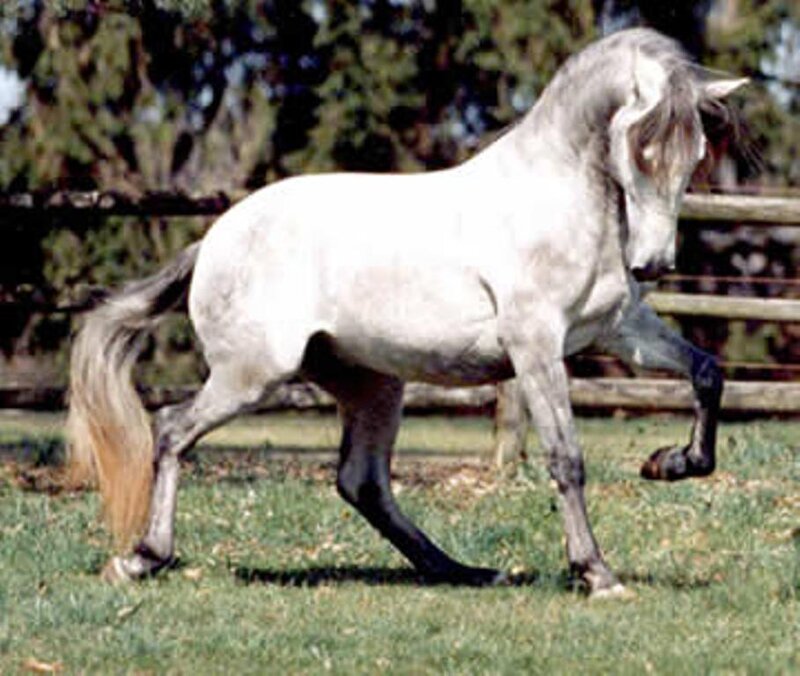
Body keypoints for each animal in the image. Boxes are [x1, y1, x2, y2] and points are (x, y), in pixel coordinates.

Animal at [67, 28, 746, 598]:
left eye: (695, 153)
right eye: (641, 148)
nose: (653, 264)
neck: (558, 200)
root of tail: (213, 240)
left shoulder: (617, 330)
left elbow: (707, 373)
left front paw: (669, 464)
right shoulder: (536, 347)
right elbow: (566, 458)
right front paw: (598, 574)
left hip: (372, 384)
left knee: (361, 481)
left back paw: (463, 570)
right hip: (251, 376)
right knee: (171, 430)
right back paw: (142, 558)